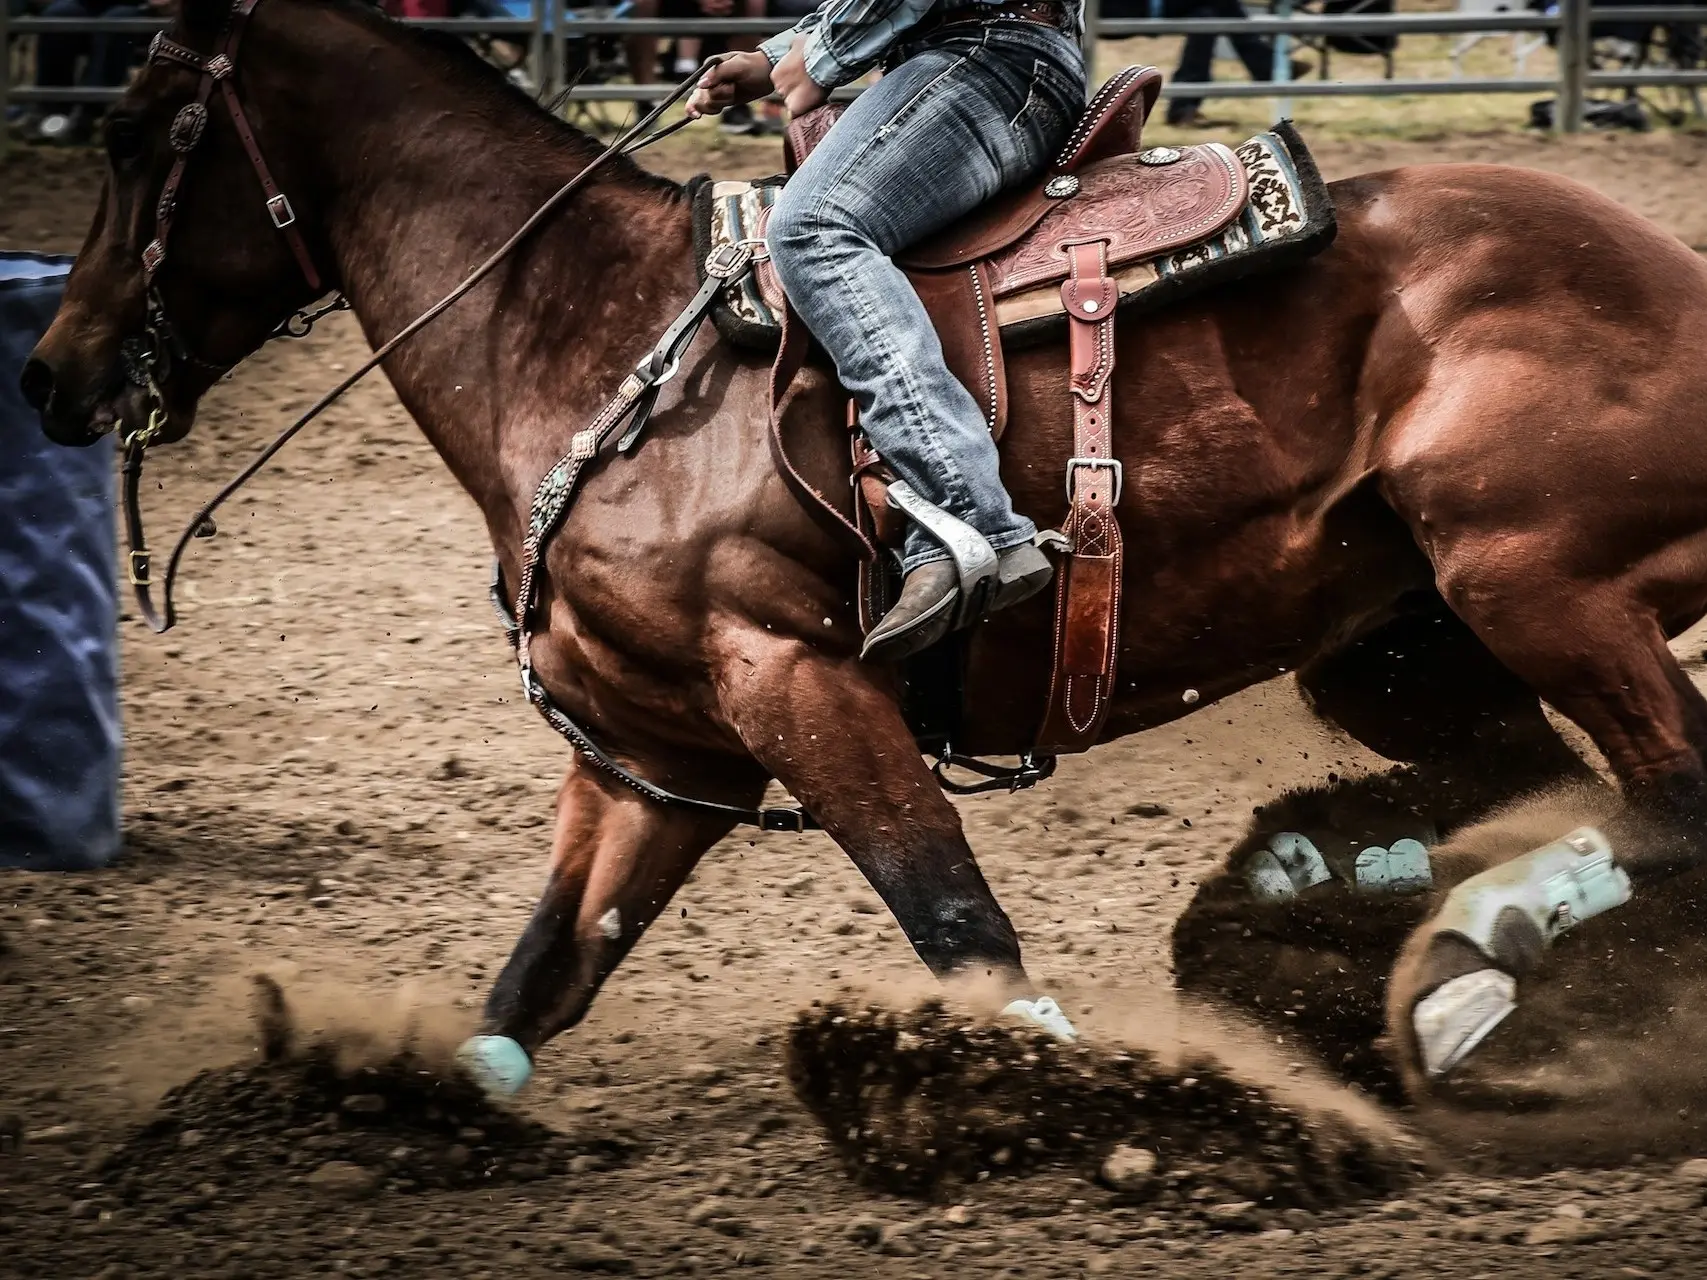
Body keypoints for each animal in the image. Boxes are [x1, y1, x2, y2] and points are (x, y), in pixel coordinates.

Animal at [23, 0, 1707, 1105]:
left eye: (135, 133)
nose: (49, 374)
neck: (586, 336)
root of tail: (1667, 269)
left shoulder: (798, 686)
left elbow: (958, 930)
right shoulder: (661, 755)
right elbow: (536, 983)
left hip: (1535, 588)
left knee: (1663, 807)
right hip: (1404, 651)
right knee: (1541, 797)